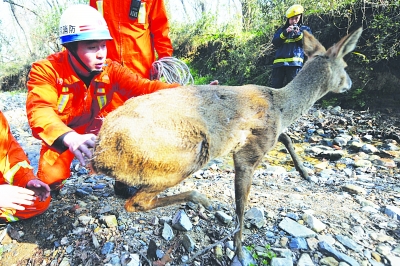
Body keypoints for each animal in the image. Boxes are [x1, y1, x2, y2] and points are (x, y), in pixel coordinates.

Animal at [90, 28, 362, 264]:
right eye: (346, 66)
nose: (350, 84)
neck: (281, 105)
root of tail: (100, 152)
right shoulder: (248, 152)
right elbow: (241, 207)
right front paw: (240, 251)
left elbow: (285, 138)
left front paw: (305, 173)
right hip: (187, 153)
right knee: (136, 202)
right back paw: (201, 199)